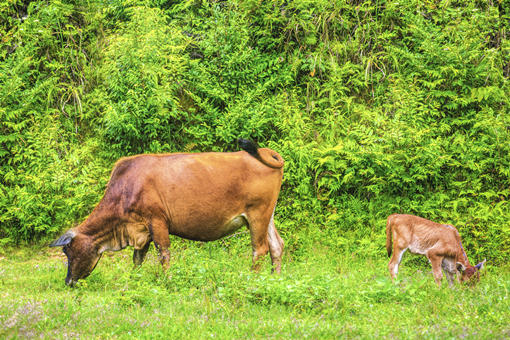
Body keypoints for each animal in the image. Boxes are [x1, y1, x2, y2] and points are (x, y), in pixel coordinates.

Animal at [49, 139, 284, 286]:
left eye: (67, 251)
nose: (68, 281)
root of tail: (266, 152)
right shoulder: (141, 230)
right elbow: (138, 258)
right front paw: (134, 280)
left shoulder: (157, 221)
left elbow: (163, 254)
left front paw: (167, 281)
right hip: (266, 215)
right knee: (276, 245)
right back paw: (275, 279)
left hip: (257, 214)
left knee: (259, 249)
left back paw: (253, 281)